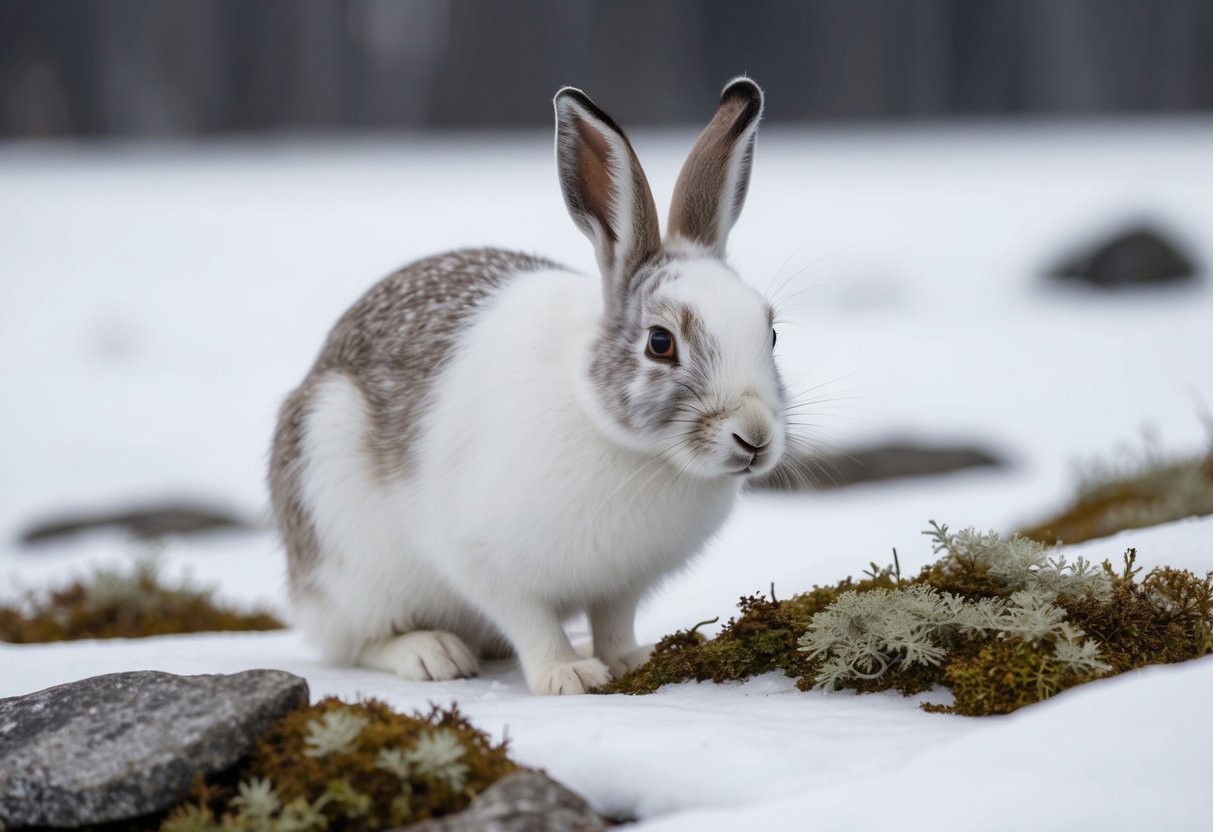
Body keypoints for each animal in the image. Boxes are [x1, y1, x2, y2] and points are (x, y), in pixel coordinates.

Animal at [269, 77, 787, 695]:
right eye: (660, 343)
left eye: (771, 333)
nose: (755, 437)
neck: (629, 444)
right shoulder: (481, 558)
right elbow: (528, 618)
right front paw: (566, 675)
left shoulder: (622, 582)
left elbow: (614, 620)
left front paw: (628, 660)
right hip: (346, 547)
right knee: (356, 640)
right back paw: (431, 653)